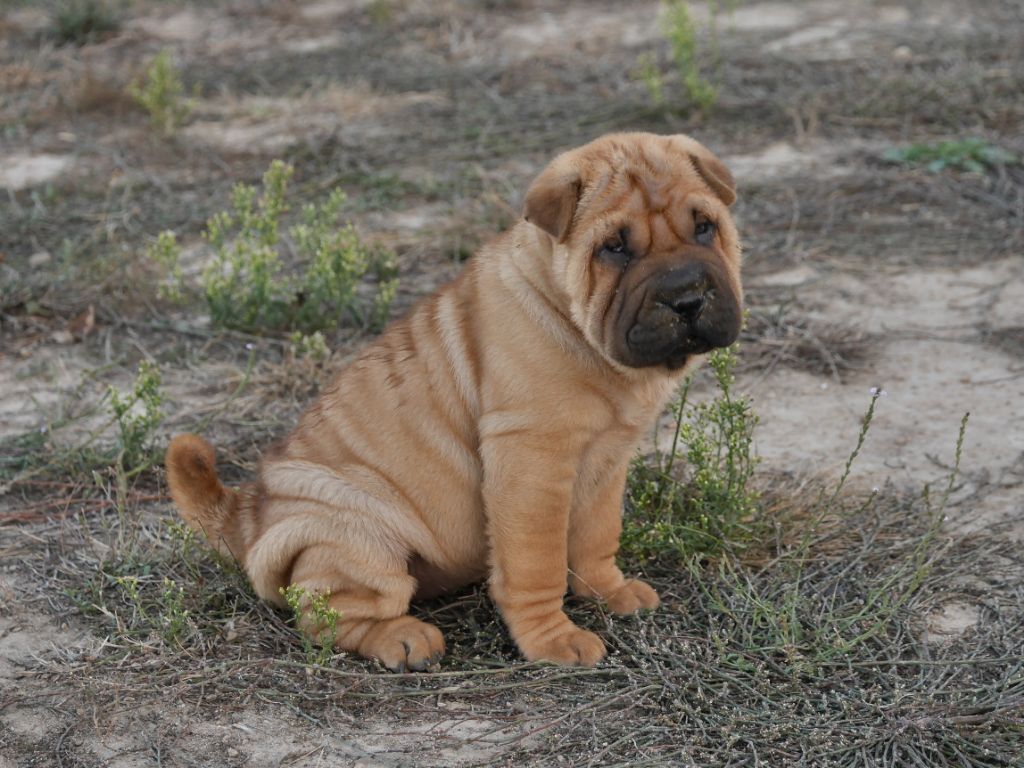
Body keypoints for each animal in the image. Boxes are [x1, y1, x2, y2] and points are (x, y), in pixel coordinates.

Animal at [167, 134, 745, 671]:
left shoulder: (606, 463)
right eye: (615, 248)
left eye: (704, 227)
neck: (573, 321)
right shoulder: (531, 460)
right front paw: (553, 640)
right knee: (327, 613)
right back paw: (405, 640)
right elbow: (537, 562)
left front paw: (612, 591)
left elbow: (597, 536)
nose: (686, 296)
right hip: (355, 534)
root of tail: (251, 514)